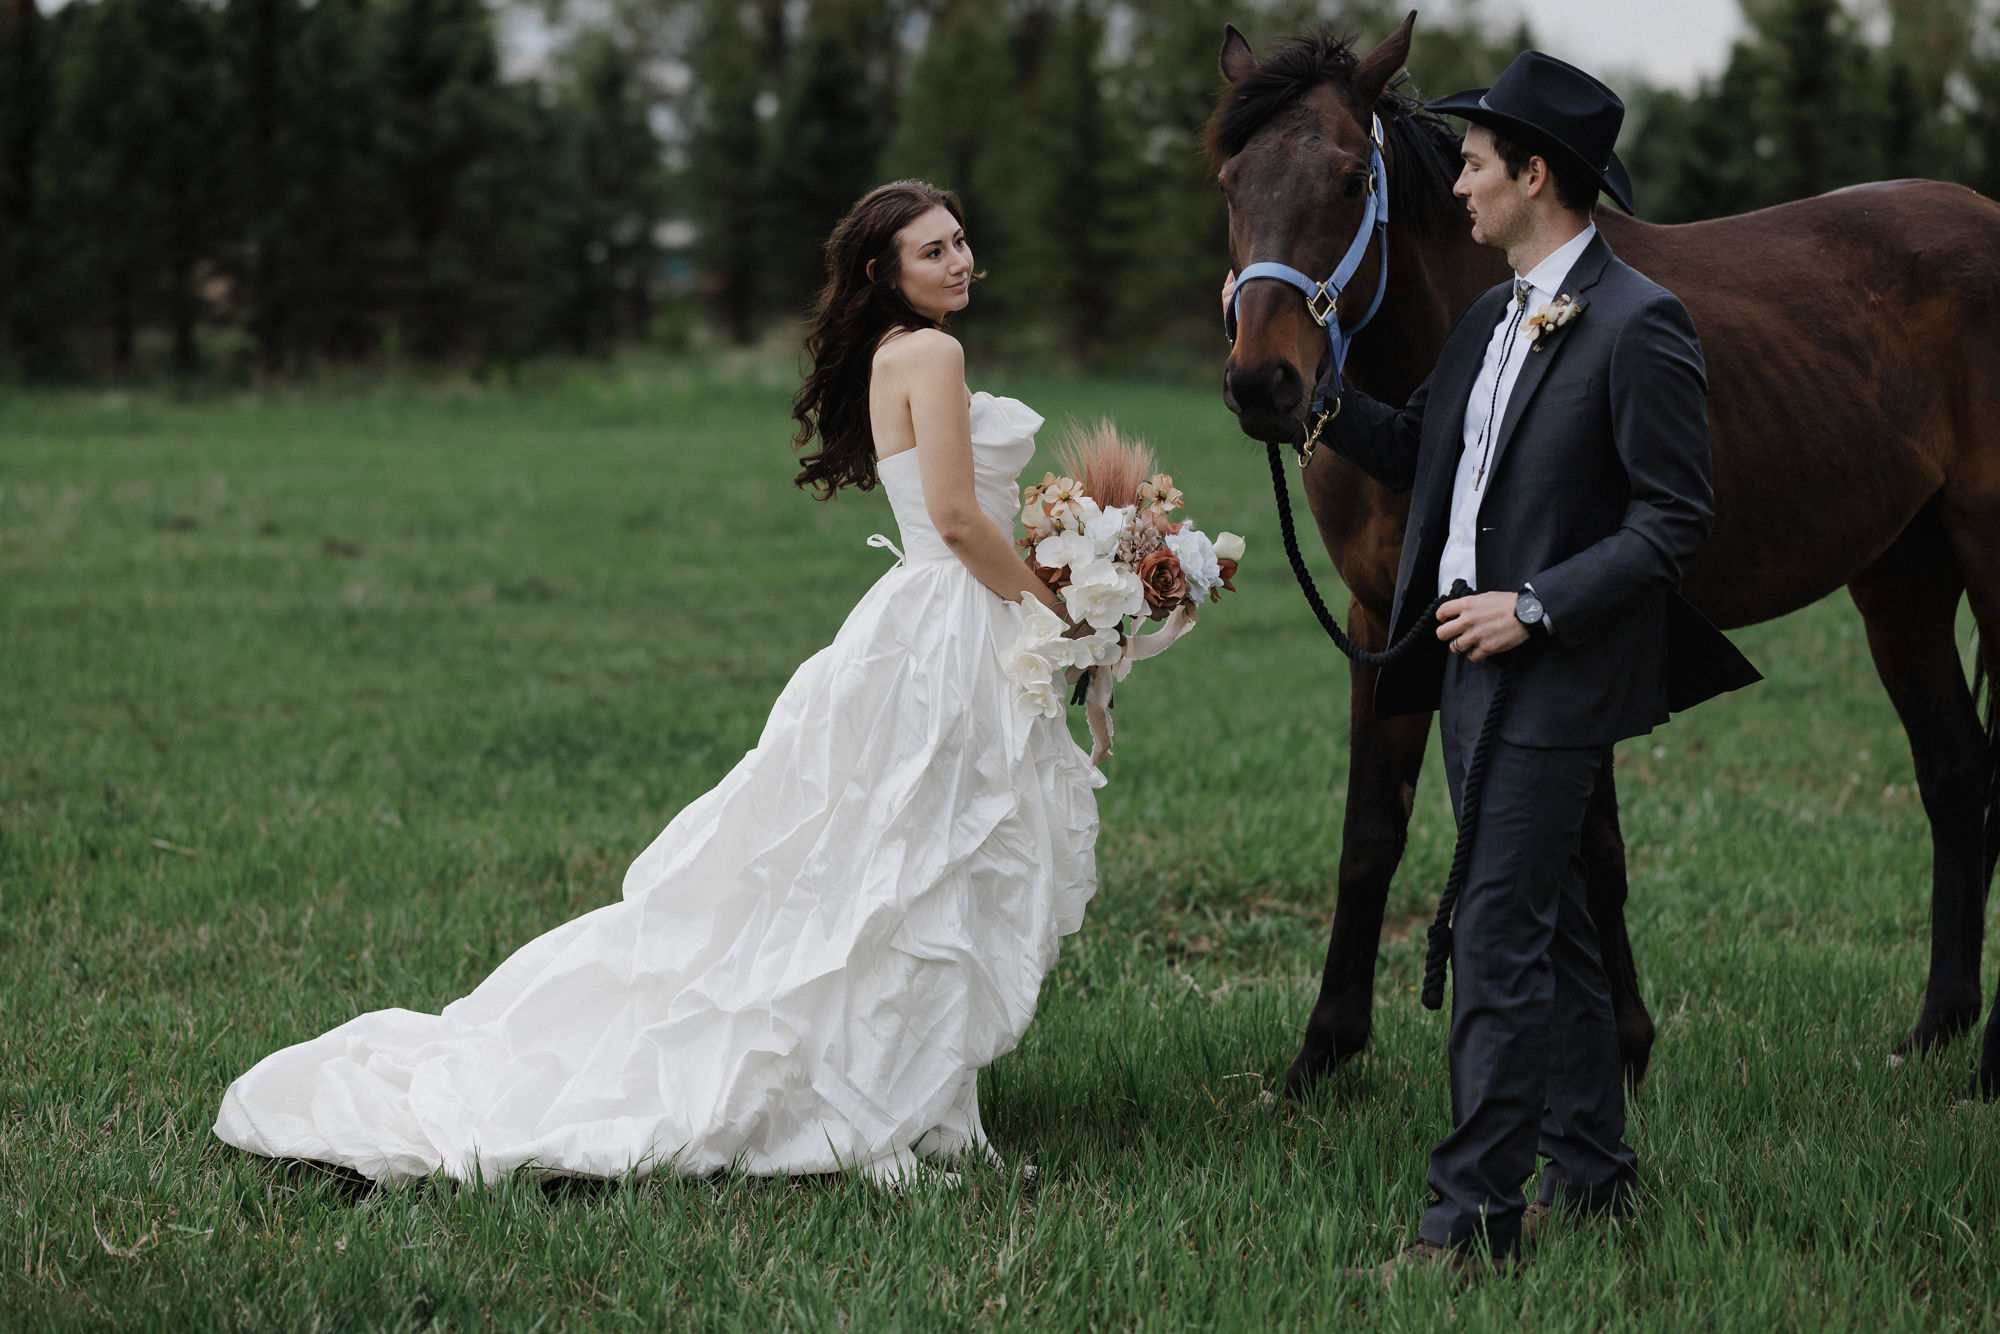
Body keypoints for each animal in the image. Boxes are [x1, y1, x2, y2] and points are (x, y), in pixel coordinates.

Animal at [1208, 13, 2000, 1104]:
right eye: (1230, 179)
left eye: (1345, 178)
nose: (1264, 384)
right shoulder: (1385, 621)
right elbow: (1370, 833)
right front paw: (1320, 1053)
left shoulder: (1561, 617)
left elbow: (1587, 844)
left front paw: (1619, 1050)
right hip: (1902, 577)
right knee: (1954, 773)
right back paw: (1934, 1031)